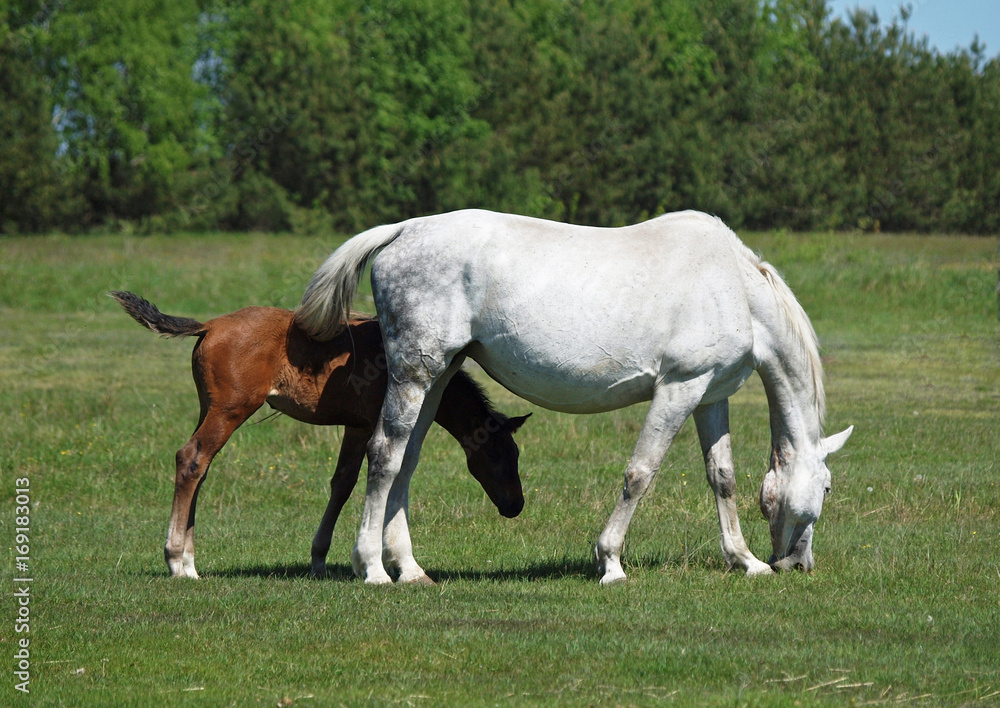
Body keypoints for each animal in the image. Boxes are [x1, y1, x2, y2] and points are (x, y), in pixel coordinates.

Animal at [112, 290, 528, 580]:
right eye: (497, 455)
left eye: (516, 455)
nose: (515, 505)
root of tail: (210, 325)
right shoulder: (365, 424)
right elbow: (345, 483)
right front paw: (325, 559)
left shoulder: (354, 425)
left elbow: (340, 482)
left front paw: (319, 561)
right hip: (230, 410)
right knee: (192, 459)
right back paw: (177, 561)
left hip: (209, 407)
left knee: (201, 466)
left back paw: (190, 561)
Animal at [294, 207, 852, 584]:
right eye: (826, 489)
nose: (799, 564)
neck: (733, 285)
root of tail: (403, 230)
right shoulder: (679, 388)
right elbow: (640, 474)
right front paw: (610, 562)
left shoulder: (710, 393)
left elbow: (723, 478)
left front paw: (745, 560)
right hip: (414, 373)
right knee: (384, 455)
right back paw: (371, 567)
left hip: (438, 374)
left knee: (405, 462)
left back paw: (409, 569)